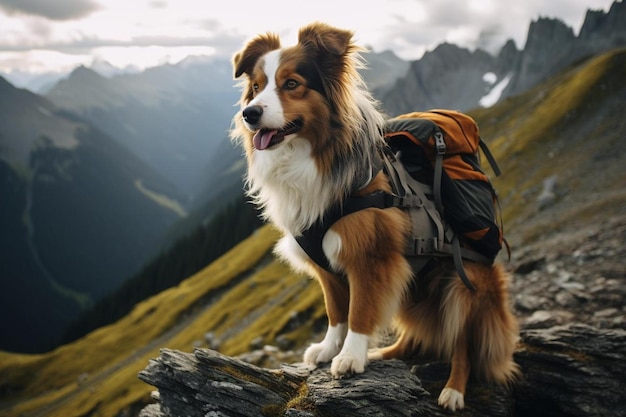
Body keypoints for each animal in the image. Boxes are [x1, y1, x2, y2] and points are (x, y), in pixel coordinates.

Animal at [229, 22, 516, 410]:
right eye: (257, 87)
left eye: (291, 84)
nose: (250, 114)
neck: (311, 159)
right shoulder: (326, 265)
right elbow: (336, 312)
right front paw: (329, 348)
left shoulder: (371, 257)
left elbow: (360, 311)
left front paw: (350, 356)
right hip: (412, 290)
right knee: (415, 338)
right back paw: (384, 354)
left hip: (463, 288)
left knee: (462, 345)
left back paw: (453, 390)